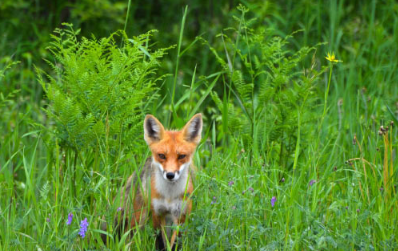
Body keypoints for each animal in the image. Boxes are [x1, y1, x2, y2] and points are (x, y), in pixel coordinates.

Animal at [104, 113, 202, 249]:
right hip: (139, 218)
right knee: (128, 237)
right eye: (162, 156)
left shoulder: (181, 216)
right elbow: (160, 241)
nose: (170, 175)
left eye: (181, 156)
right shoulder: (157, 213)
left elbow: (176, 243)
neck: (169, 196)